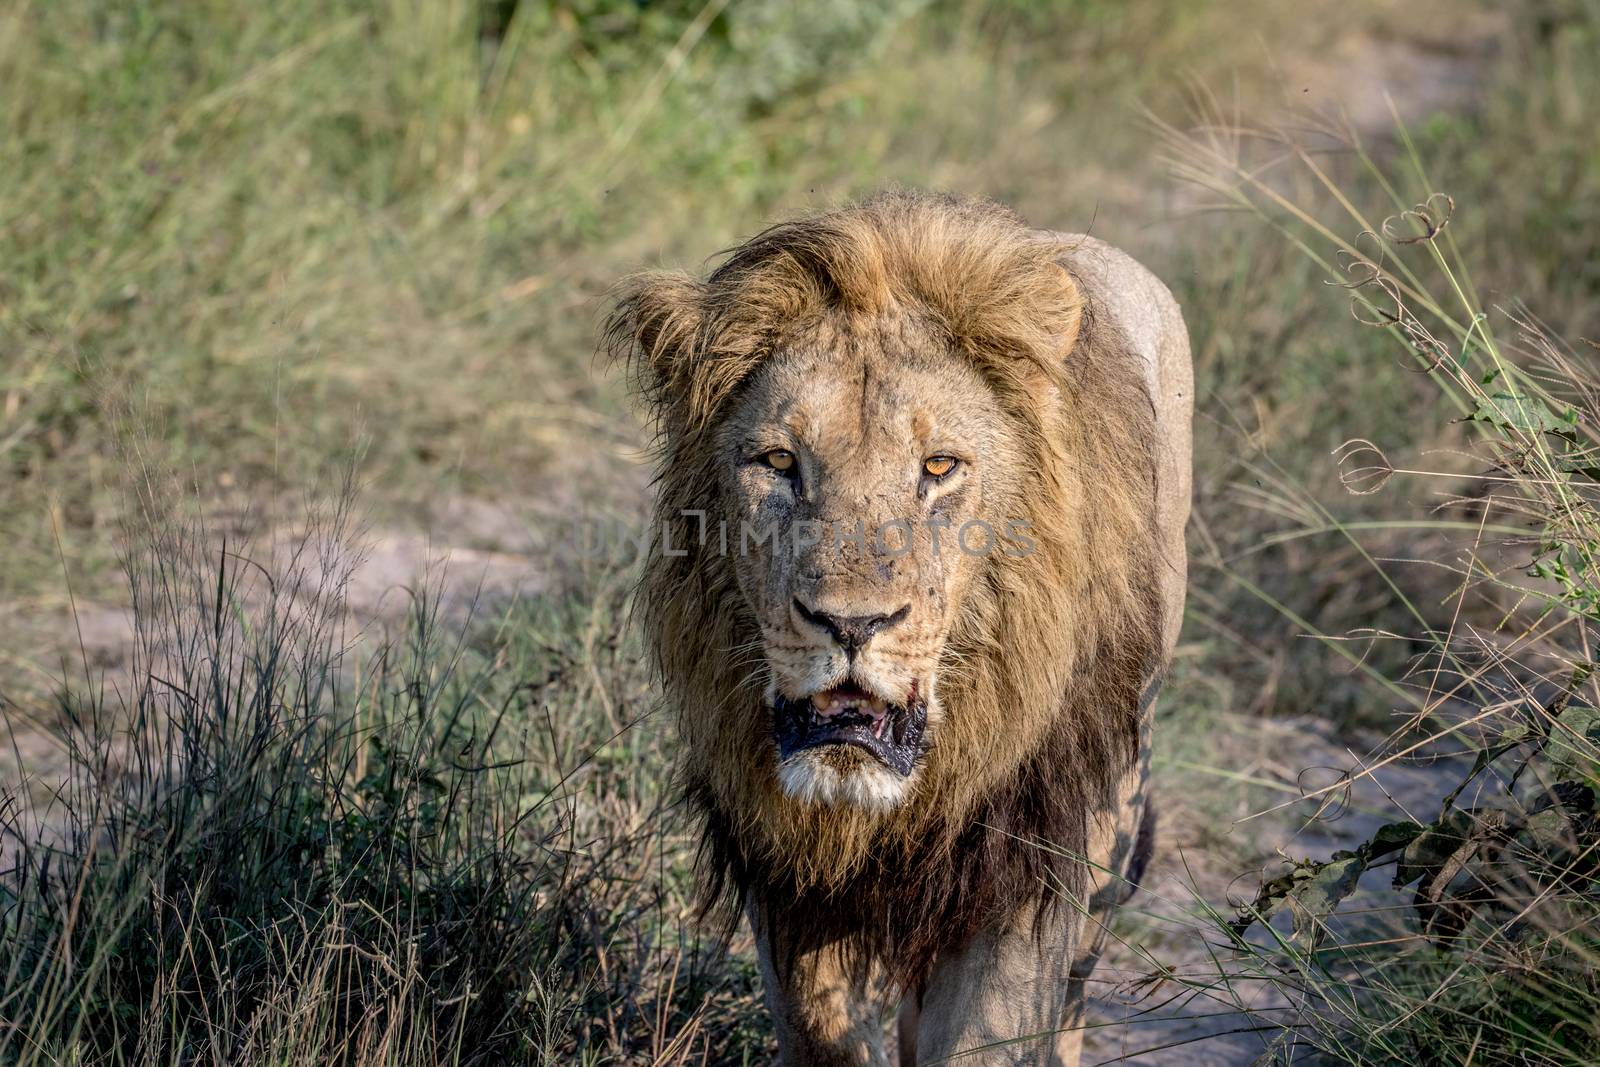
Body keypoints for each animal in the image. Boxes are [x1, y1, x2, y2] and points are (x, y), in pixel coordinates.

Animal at [604, 194, 1196, 1067]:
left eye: (940, 467)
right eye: (779, 462)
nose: (851, 624)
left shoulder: (1024, 858)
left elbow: (986, 1038)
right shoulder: (785, 870)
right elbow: (823, 1031)